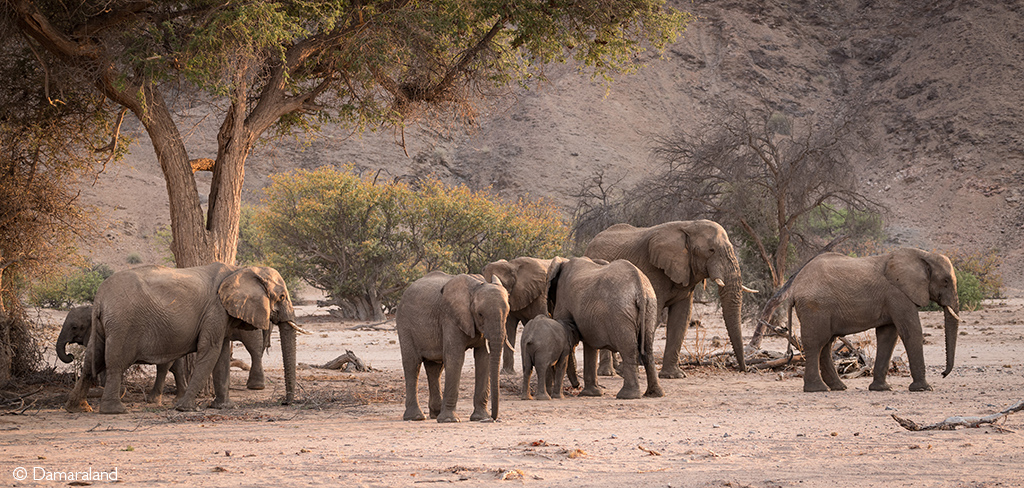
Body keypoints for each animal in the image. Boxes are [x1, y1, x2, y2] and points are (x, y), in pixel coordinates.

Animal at [396, 271, 511, 422]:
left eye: (508, 313)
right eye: (480, 314)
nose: (493, 418)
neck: (476, 287)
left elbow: (483, 359)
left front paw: (480, 417)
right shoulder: (450, 318)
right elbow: (455, 358)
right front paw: (449, 420)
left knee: (435, 368)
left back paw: (435, 414)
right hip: (405, 324)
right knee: (412, 364)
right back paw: (416, 417)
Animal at [546, 256, 663, 399]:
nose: (576, 386)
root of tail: (639, 284)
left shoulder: (563, 301)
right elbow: (590, 345)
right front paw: (592, 394)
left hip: (620, 312)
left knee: (628, 349)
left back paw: (627, 395)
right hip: (650, 305)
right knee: (648, 348)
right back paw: (654, 394)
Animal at [585, 220, 754, 377]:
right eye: (711, 250)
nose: (743, 369)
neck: (688, 226)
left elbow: (682, 317)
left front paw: (673, 375)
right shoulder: (652, 270)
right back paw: (608, 372)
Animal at [757, 248, 961, 392]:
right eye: (945, 282)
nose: (943, 373)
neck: (923, 255)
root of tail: (795, 287)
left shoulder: (892, 298)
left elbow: (888, 336)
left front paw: (881, 389)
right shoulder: (898, 294)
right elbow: (911, 332)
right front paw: (924, 389)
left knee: (826, 344)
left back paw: (838, 387)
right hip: (815, 308)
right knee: (816, 343)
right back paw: (817, 389)